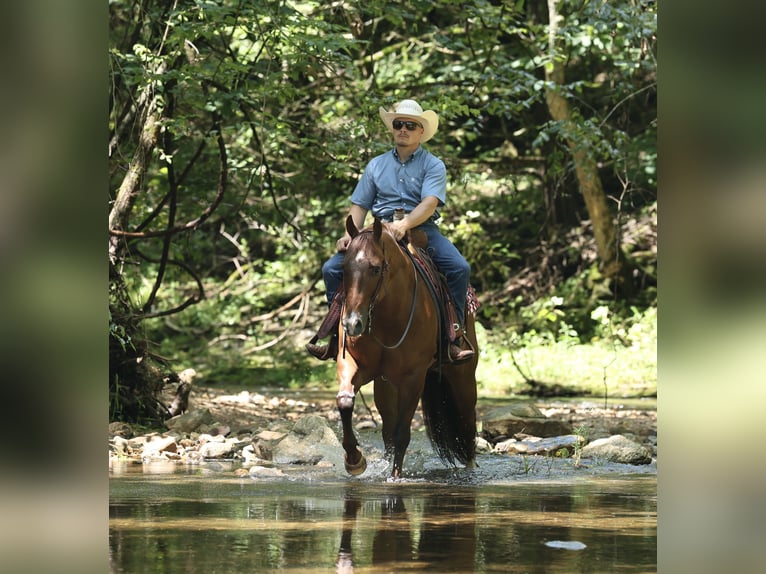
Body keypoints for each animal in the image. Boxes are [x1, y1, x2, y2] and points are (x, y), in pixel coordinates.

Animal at [334, 215, 479, 478]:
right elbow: (345, 402)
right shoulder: (352, 364)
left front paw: (395, 478)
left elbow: (403, 434)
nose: (352, 324)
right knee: (387, 430)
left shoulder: (413, 378)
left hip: (463, 378)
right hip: (385, 385)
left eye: (375, 268)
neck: (387, 316)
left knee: (467, 424)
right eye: (343, 269)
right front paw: (355, 460)